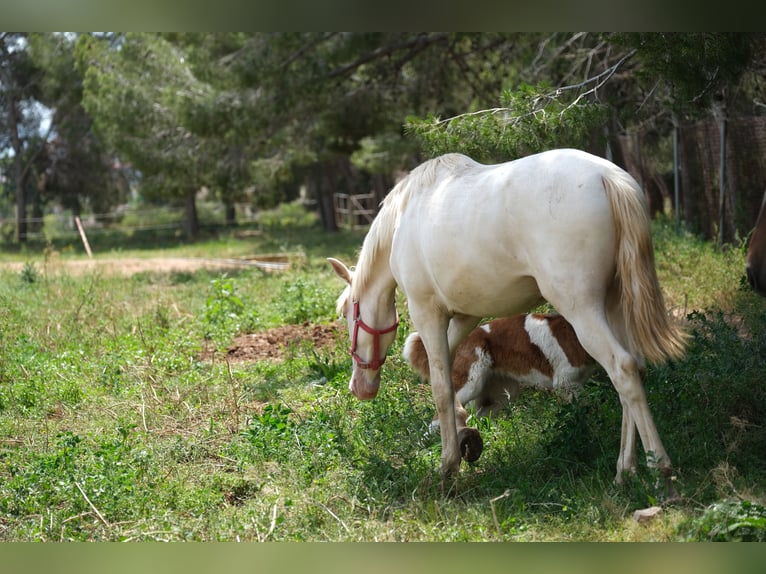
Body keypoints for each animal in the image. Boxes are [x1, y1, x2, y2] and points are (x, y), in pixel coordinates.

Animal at [404, 312, 596, 430]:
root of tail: (463, 339)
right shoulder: (567, 384)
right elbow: (585, 407)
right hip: (470, 385)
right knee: (437, 419)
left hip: (503, 394)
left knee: (475, 416)